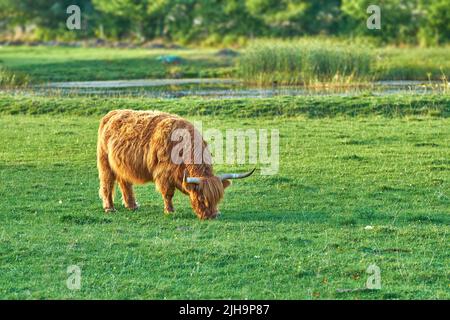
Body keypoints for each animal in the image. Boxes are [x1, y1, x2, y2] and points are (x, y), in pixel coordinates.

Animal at [97, 110, 255, 220]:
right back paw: (109, 208)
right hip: (105, 162)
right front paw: (170, 211)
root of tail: (112, 113)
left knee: (125, 183)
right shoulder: (164, 174)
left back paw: (132, 206)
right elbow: (168, 194)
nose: (212, 216)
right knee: (107, 184)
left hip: (122, 165)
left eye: (218, 199)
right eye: (201, 199)